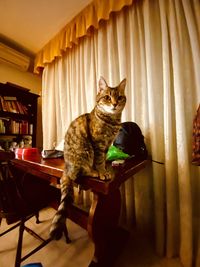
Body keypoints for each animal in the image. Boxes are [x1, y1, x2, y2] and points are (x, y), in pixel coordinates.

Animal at [49, 76, 126, 242]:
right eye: (107, 97)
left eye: (119, 97)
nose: (115, 104)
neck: (111, 122)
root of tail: (66, 168)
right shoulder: (98, 144)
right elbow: (99, 161)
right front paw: (102, 172)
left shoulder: (106, 146)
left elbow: (103, 159)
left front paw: (106, 169)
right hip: (84, 152)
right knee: (80, 173)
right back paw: (93, 172)